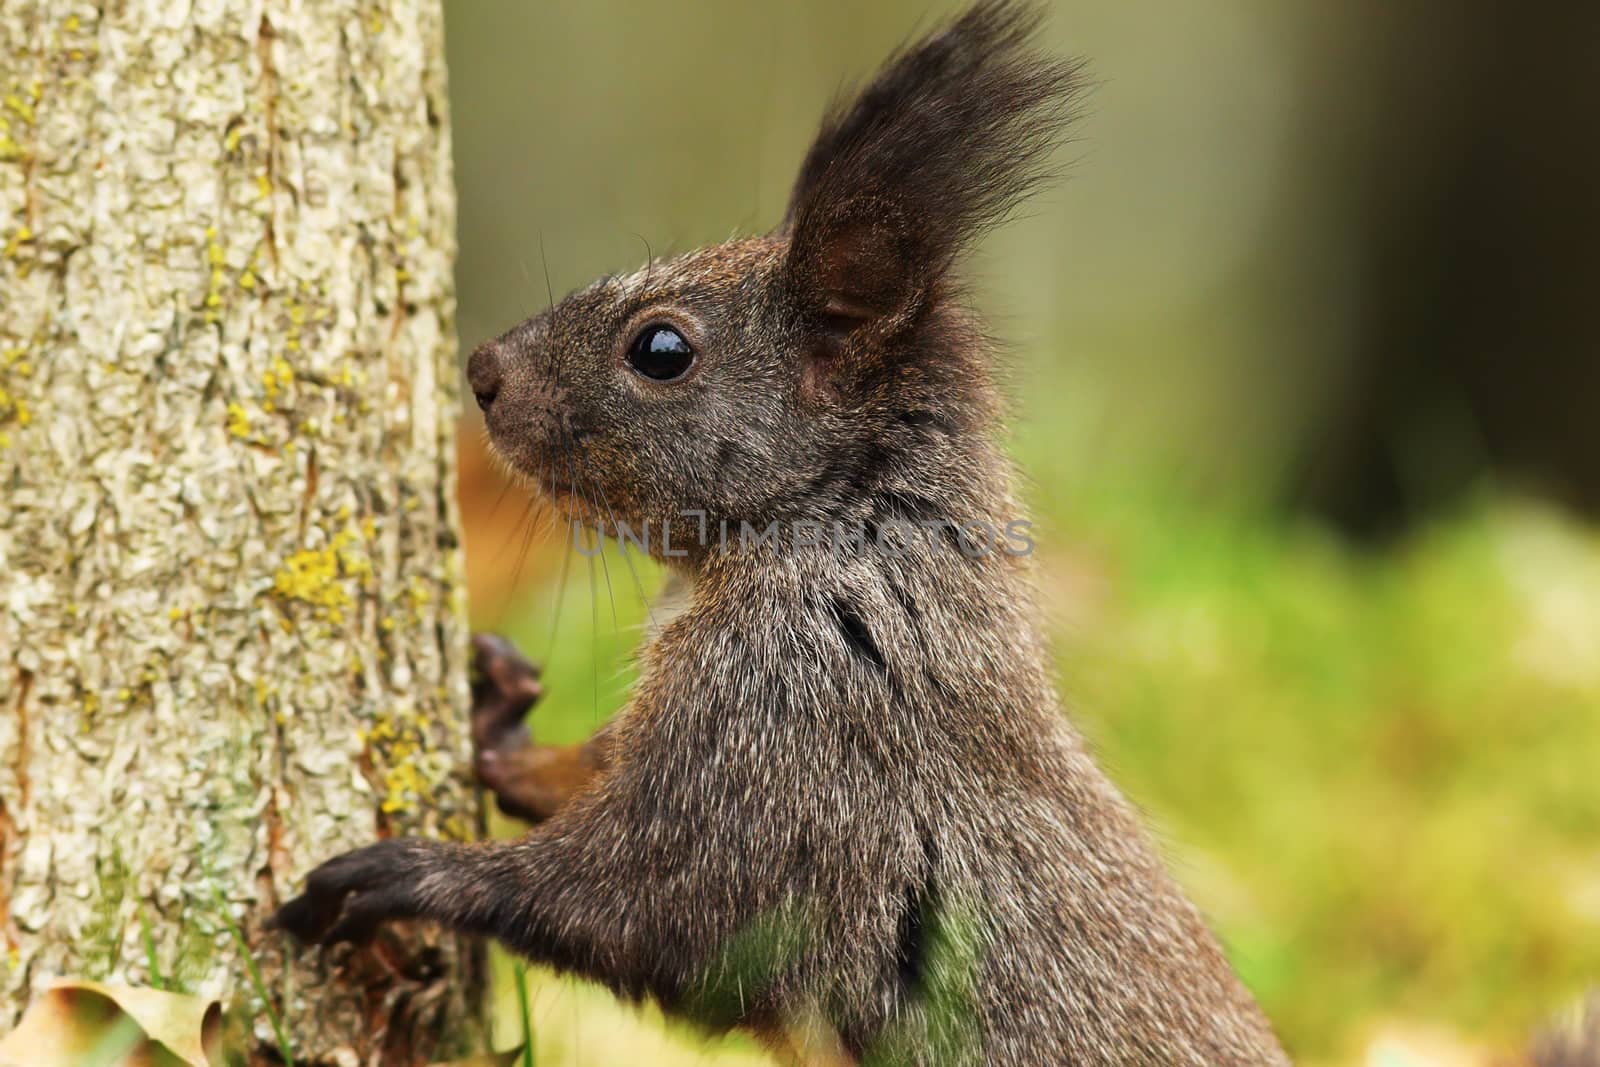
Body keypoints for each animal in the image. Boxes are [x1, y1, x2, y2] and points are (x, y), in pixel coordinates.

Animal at [275, 4, 1292, 1062]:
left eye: (661, 349)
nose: (482, 370)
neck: (836, 539)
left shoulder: (786, 741)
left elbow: (644, 906)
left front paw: (404, 875)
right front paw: (501, 724)